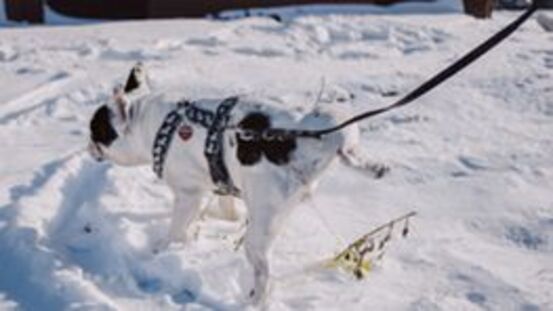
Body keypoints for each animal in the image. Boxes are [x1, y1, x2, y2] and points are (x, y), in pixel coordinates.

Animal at [87, 64, 388, 308]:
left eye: (96, 131)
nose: (88, 145)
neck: (146, 121)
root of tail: (313, 140)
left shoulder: (188, 194)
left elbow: (176, 229)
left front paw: (162, 248)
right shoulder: (220, 179)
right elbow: (226, 207)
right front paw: (222, 218)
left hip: (259, 229)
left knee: (264, 272)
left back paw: (253, 302)